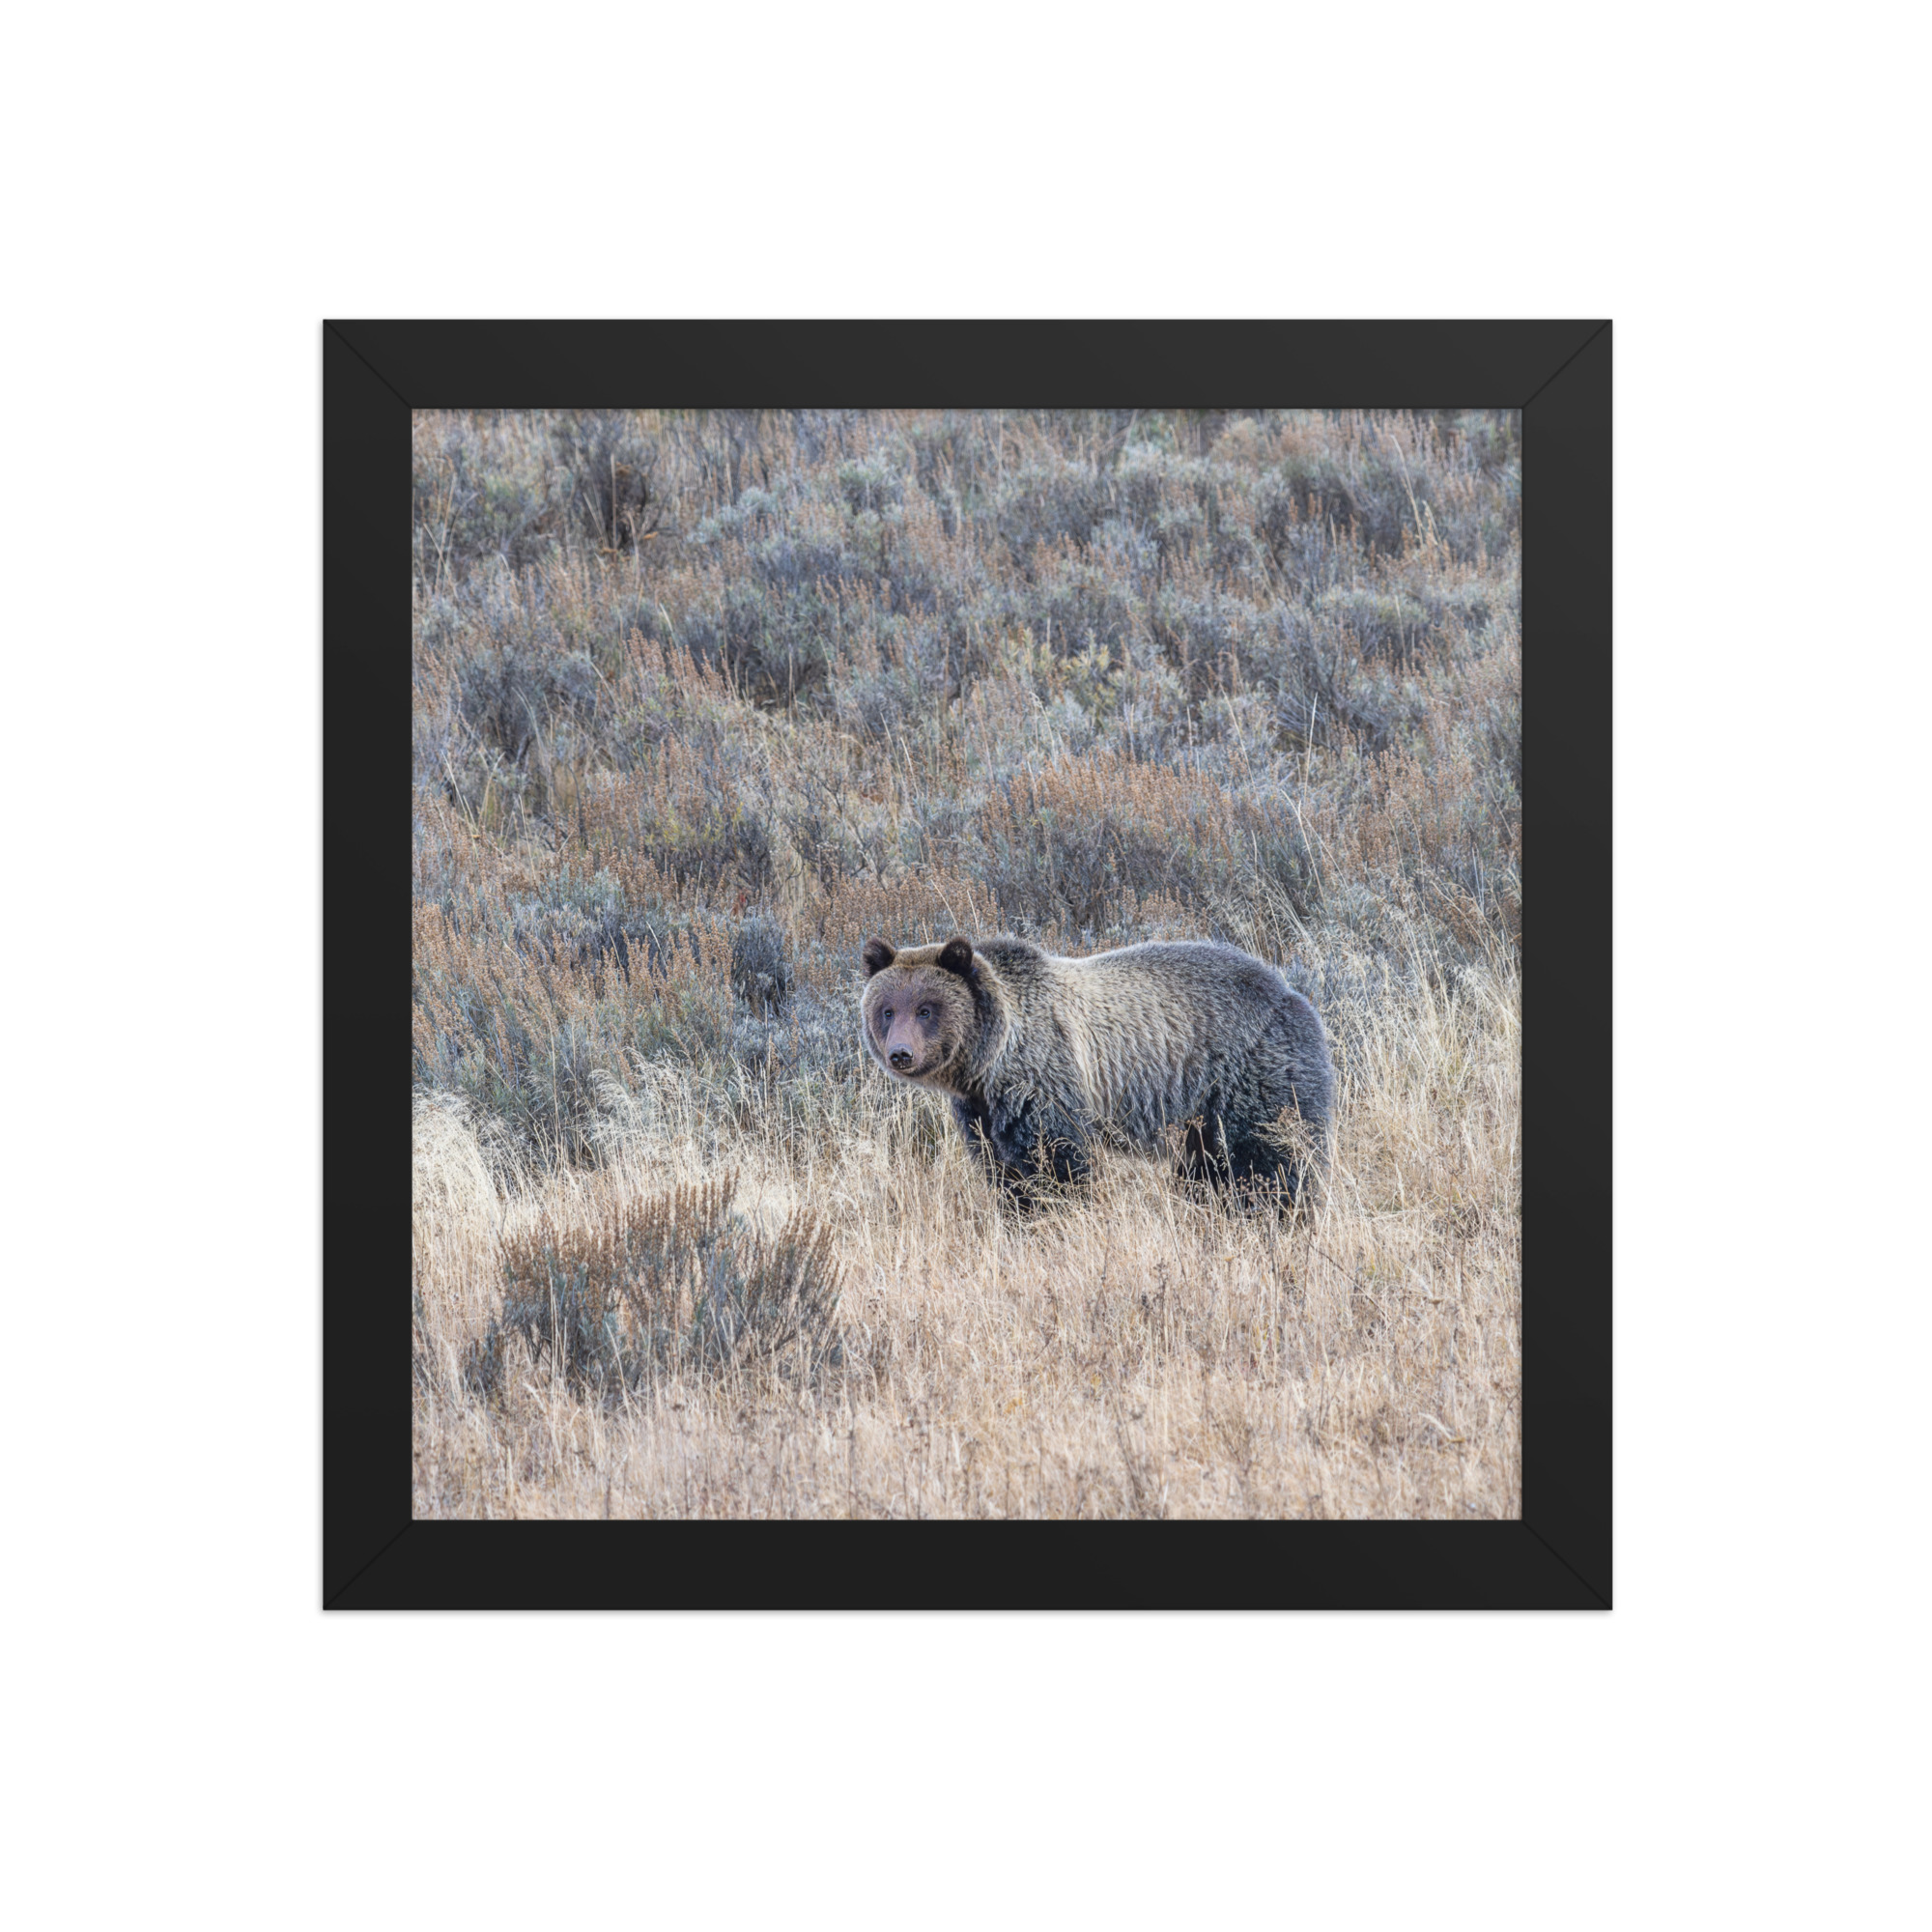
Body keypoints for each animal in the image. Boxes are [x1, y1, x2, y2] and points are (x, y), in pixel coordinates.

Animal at [859, 932, 1333, 1206]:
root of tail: (1292, 993)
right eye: (887, 1010)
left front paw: (1057, 1212)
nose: (901, 1054)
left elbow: (1057, 1163)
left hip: (1251, 1074)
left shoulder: (1045, 1080)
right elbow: (1003, 1170)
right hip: (1201, 1116)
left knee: (1270, 1158)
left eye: (926, 1009)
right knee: (1207, 1169)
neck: (990, 1062)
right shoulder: (981, 1111)